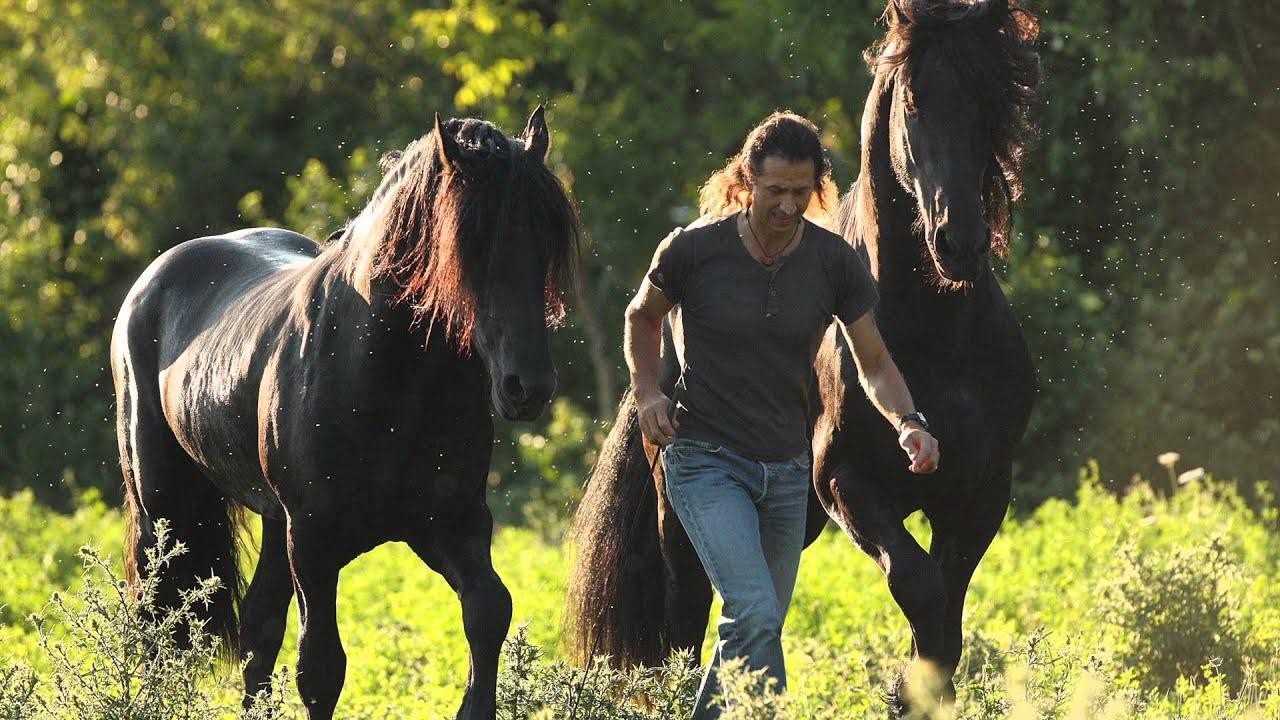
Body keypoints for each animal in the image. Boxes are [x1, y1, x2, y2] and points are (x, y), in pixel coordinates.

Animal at [115, 107, 581, 717]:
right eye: (471, 245)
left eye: (549, 242)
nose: (528, 387)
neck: (388, 379)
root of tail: (152, 282)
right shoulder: (315, 540)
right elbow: (320, 668)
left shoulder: (452, 525)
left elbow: (488, 611)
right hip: (164, 509)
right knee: (157, 619)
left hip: (273, 522)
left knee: (258, 629)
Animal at [568, 0, 1039, 707]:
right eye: (915, 100)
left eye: (992, 99)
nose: (959, 242)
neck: (941, 334)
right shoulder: (844, 480)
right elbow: (921, 589)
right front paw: (904, 692)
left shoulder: (980, 492)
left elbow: (946, 615)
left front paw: (917, 693)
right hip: (680, 521)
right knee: (685, 625)